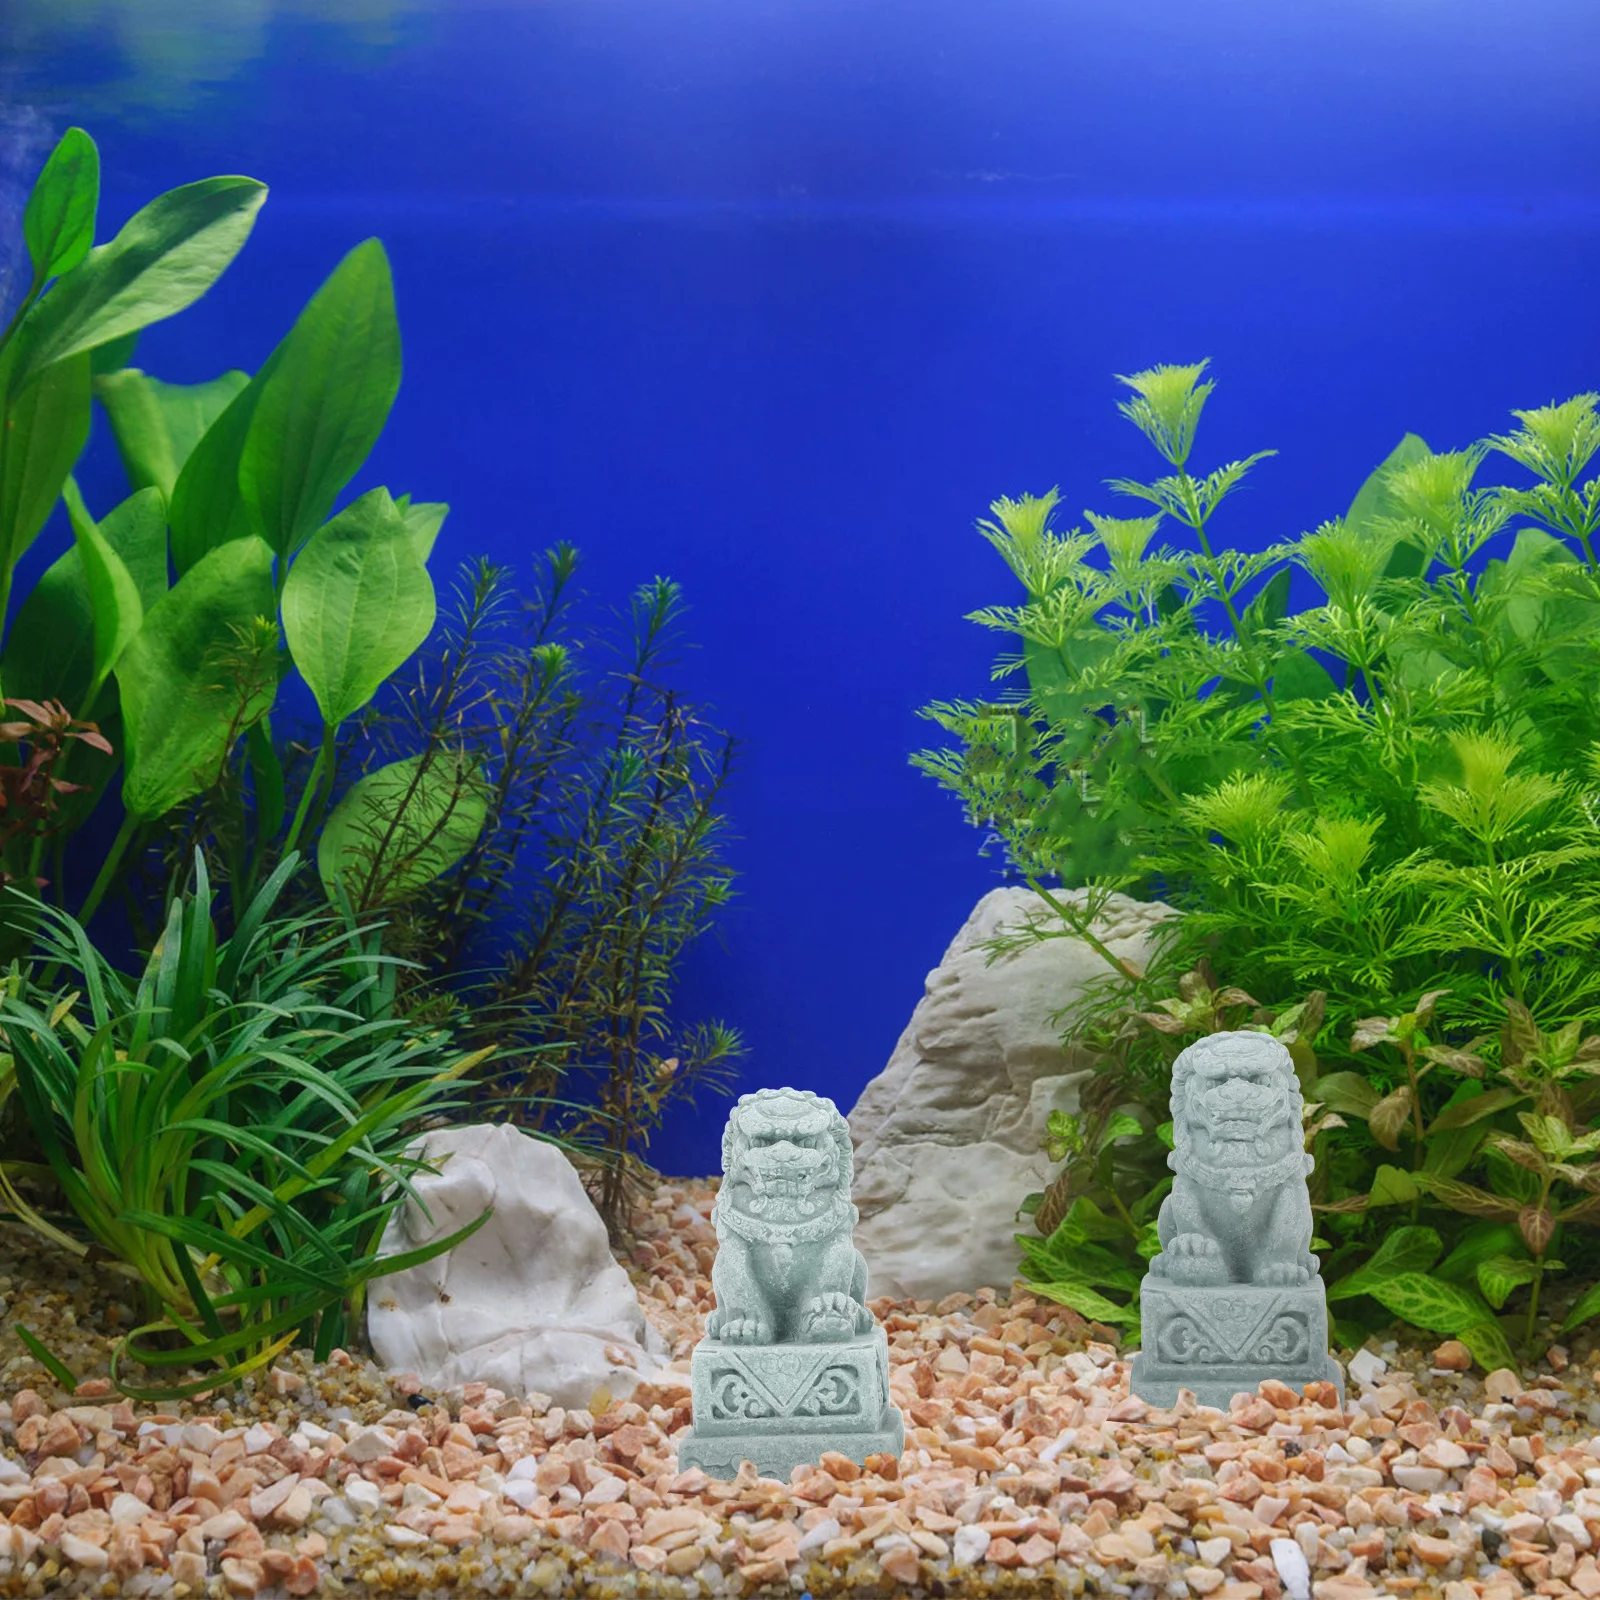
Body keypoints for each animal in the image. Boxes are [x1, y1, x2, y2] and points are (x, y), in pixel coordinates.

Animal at [705, 1088, 873, 1344]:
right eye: (760, 1142)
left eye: (806, 1142)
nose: (783, 1155)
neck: (783, 1206)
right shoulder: (732, 1241)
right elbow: (739, 1283)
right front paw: (744, 1327)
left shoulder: (838, 1235)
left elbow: (831, 1275)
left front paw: (828, 1315)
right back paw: (717, 1321)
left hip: (861, 1262)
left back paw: (861, 1316)